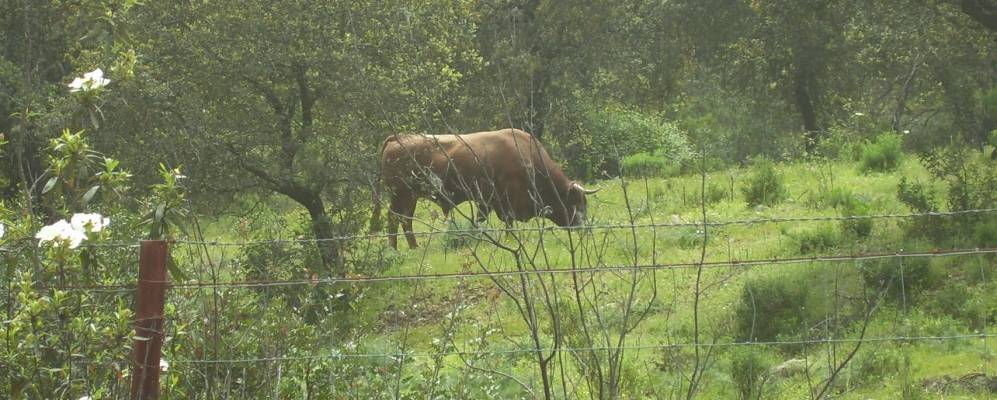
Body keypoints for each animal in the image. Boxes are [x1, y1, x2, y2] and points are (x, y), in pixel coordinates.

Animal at [370, 128, 596, 248]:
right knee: (395, 220)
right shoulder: (504, 202)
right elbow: (507, 224)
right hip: (402, 196)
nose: (585, 229)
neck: (528, 157)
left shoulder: (487, 203)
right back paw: (396, 248)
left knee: (405, 221)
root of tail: (397, 138)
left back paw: (413, 248)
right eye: (577, 202)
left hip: (410, 198)